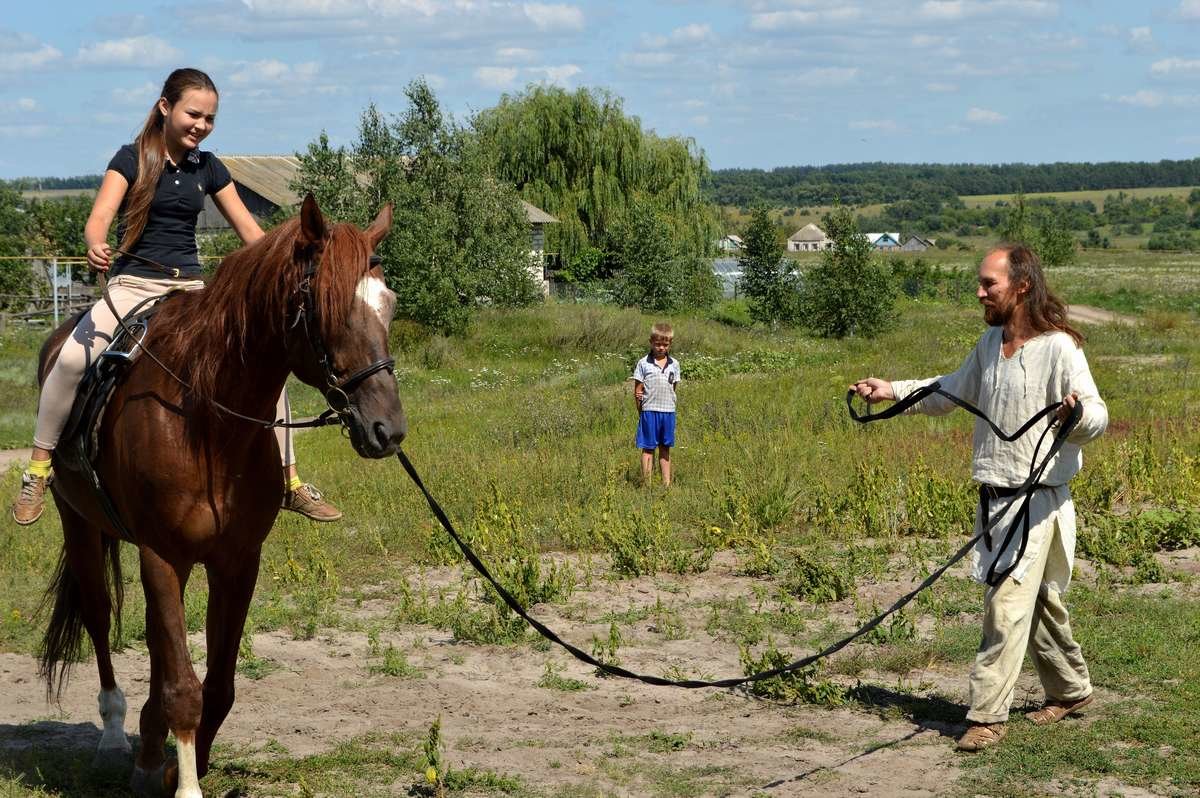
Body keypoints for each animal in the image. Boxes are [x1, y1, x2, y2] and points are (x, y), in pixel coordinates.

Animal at [36, 194, 403, 796]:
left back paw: (146, 749)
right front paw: (185, 783)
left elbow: (218, 684)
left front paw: (175, 766)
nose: (387, 430)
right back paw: (114, 734)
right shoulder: (163, 556)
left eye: (388, 305)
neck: (207, 422)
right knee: (99, 616)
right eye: (324, 307)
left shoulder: (236, 562)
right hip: (80, 524)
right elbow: (183, 687)